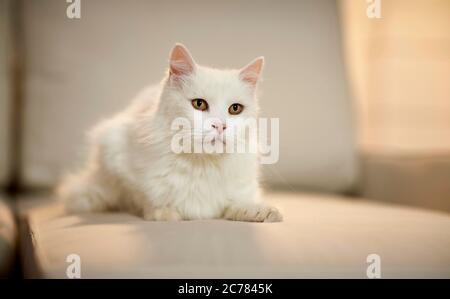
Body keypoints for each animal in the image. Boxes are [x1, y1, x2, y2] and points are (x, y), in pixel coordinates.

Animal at [56, 44, 282, 223]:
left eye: (235, 109)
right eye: (199, 104)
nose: (219, 126)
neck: (203, 164)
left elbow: (238, 204)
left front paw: (261, 212)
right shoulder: (117, 156)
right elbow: (143, 198)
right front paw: (164, 213)